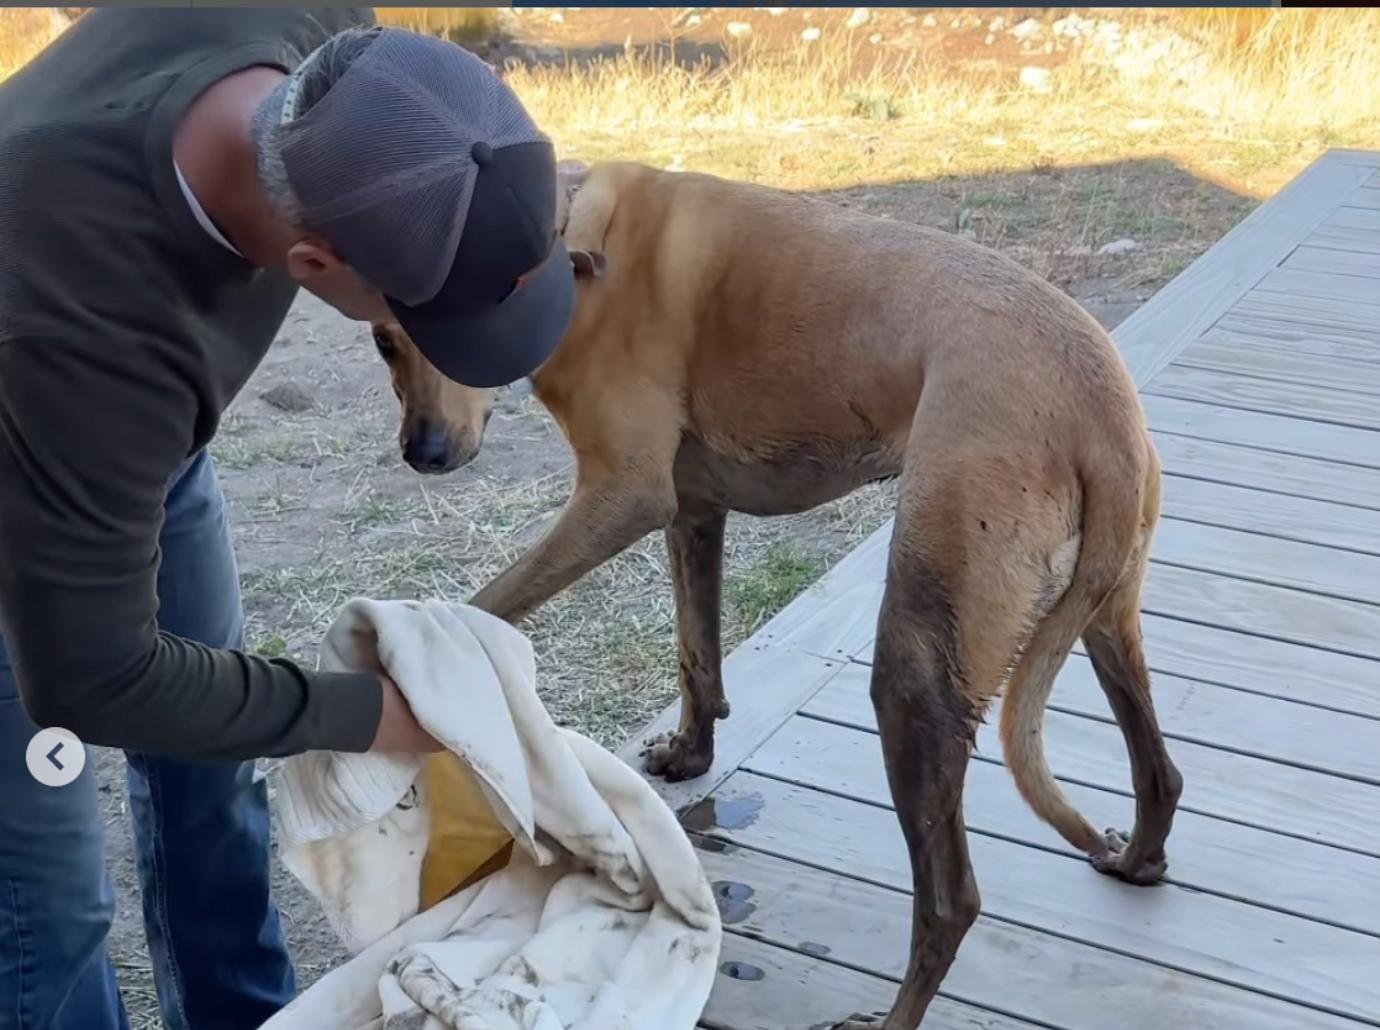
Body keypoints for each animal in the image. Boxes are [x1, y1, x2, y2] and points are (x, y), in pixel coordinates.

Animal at [369, 160, 1186, 1027]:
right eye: (385, 339)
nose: (422, 452)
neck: (573, 244)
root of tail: (1100, 411)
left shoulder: (622, 500)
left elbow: (488, 602)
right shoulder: (693, 513)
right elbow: (696, 657)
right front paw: (691, 754)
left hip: (918, 673)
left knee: (950, 902)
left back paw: (890, 1017)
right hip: (1102, 616)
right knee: (1160, 772)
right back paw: (1138, 859)